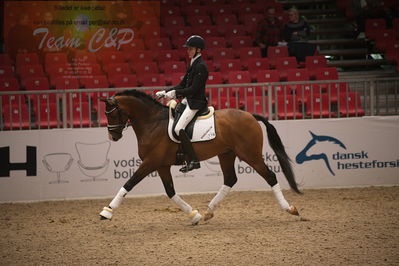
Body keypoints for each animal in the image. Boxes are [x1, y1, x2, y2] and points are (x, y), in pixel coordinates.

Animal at [98, 90, 302, 224]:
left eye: (112, 114)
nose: (113, 137)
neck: (153, 123)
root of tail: (250, 115)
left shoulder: (150, 163)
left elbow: (129, 184)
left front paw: (107, 211)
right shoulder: (161, 165)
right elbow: (170, 192)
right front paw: (194, 215)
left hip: (250, 155)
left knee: (270, 176)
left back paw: (290, 209)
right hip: (226, 154)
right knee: (230, 179)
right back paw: (208, 212)